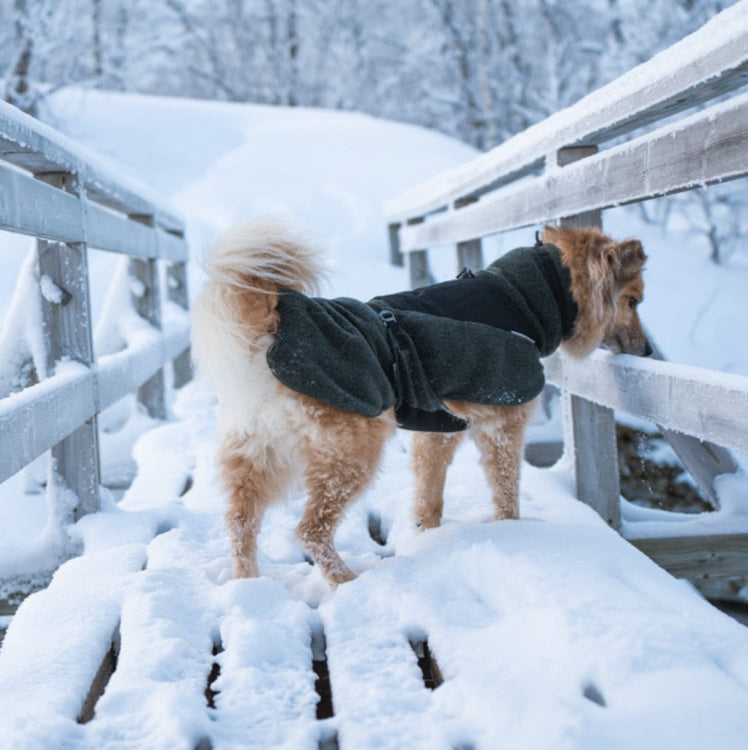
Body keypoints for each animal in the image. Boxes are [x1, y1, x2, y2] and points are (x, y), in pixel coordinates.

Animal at [191, 222, 648, 588]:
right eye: (633, 301)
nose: (646, 351)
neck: (523, 299)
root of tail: (272, 337)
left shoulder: (437, 433)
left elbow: (430, 497)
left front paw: (426, 533)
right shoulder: (503, 426)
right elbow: (506, 492)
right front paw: (511, 533)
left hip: (258, 455)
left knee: (241, 523)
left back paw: (247, 584)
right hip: (351, 455)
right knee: (310, 530)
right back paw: (345, 580)